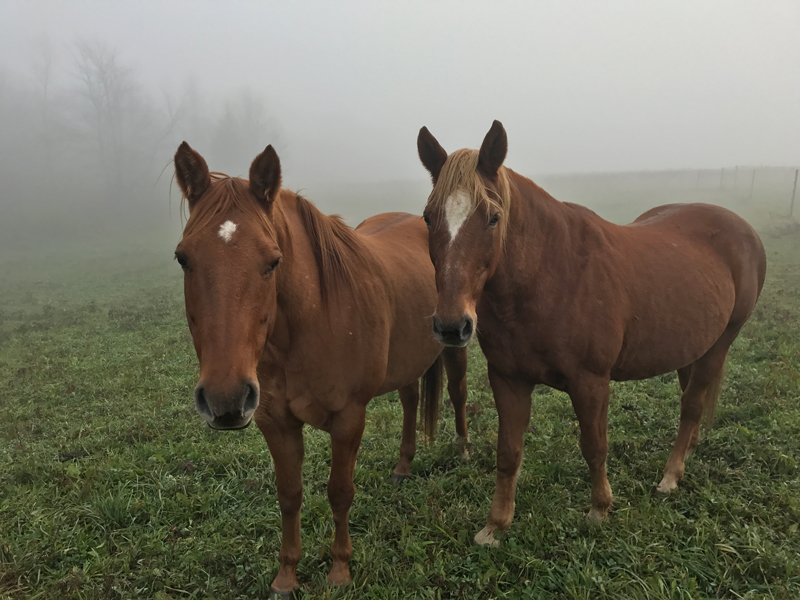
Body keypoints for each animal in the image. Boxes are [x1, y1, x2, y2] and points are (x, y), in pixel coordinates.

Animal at [172, 142, 470, 596]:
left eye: (272, 261)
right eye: (183, 258)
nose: (225, 398)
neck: (311, 322)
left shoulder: (348, 419)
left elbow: (339, 491)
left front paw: (340, 570)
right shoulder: (275, 422)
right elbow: (289, 494)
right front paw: (286, 576)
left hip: (455, 343)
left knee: (458, 392)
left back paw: (464, 449)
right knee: (410, 399)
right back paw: (402, 468)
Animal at [417, 120, 766, 547]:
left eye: (493, 218)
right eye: (428, 217)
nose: (452, 326)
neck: (549, 277)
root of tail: (743, 228)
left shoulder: (591, 383)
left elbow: (594, 446)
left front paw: (600, 509)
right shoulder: (508, 380)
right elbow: (508, 452)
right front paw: (496, 526)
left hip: (721, 342)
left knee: (691, 405)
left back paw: (670, 476)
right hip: (693, 344)